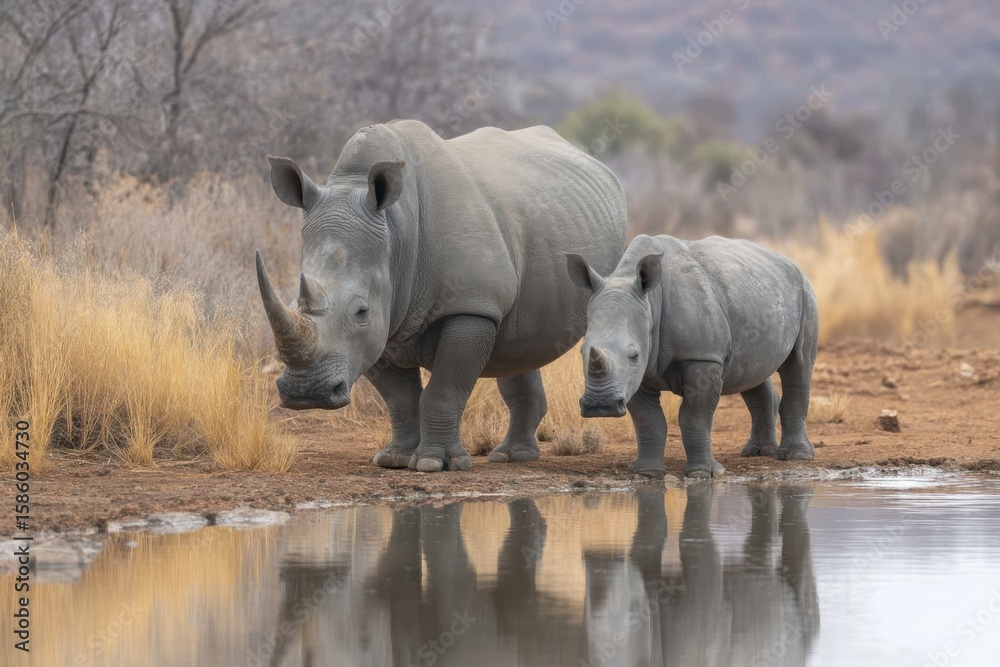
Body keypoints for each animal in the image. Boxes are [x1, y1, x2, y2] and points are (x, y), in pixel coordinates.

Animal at [256, 120, 627, 472]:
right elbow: (400, 399)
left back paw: (511, 456)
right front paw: (395, 460)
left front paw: (435, 464)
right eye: (295, 303)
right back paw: (512, 456)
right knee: (519, 346)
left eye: (361, 311)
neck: (396, 231)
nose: (306, 392)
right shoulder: (385, 324)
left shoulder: (470, 306)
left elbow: (444, 391)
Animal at [567, 234, 819, 478]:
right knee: (750, 371)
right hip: (756, 293)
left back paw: (795, 456)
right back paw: (757, 452)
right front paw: (647, 472)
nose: (600, 406)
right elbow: (648, 420)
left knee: (798, 366)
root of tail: (788, 260)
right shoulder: (635, 375)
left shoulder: (702, 357)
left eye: (634, 355)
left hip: (804, 291)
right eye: (582, 351)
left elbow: (694, 416)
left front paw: (702, 473)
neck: (651, 304)